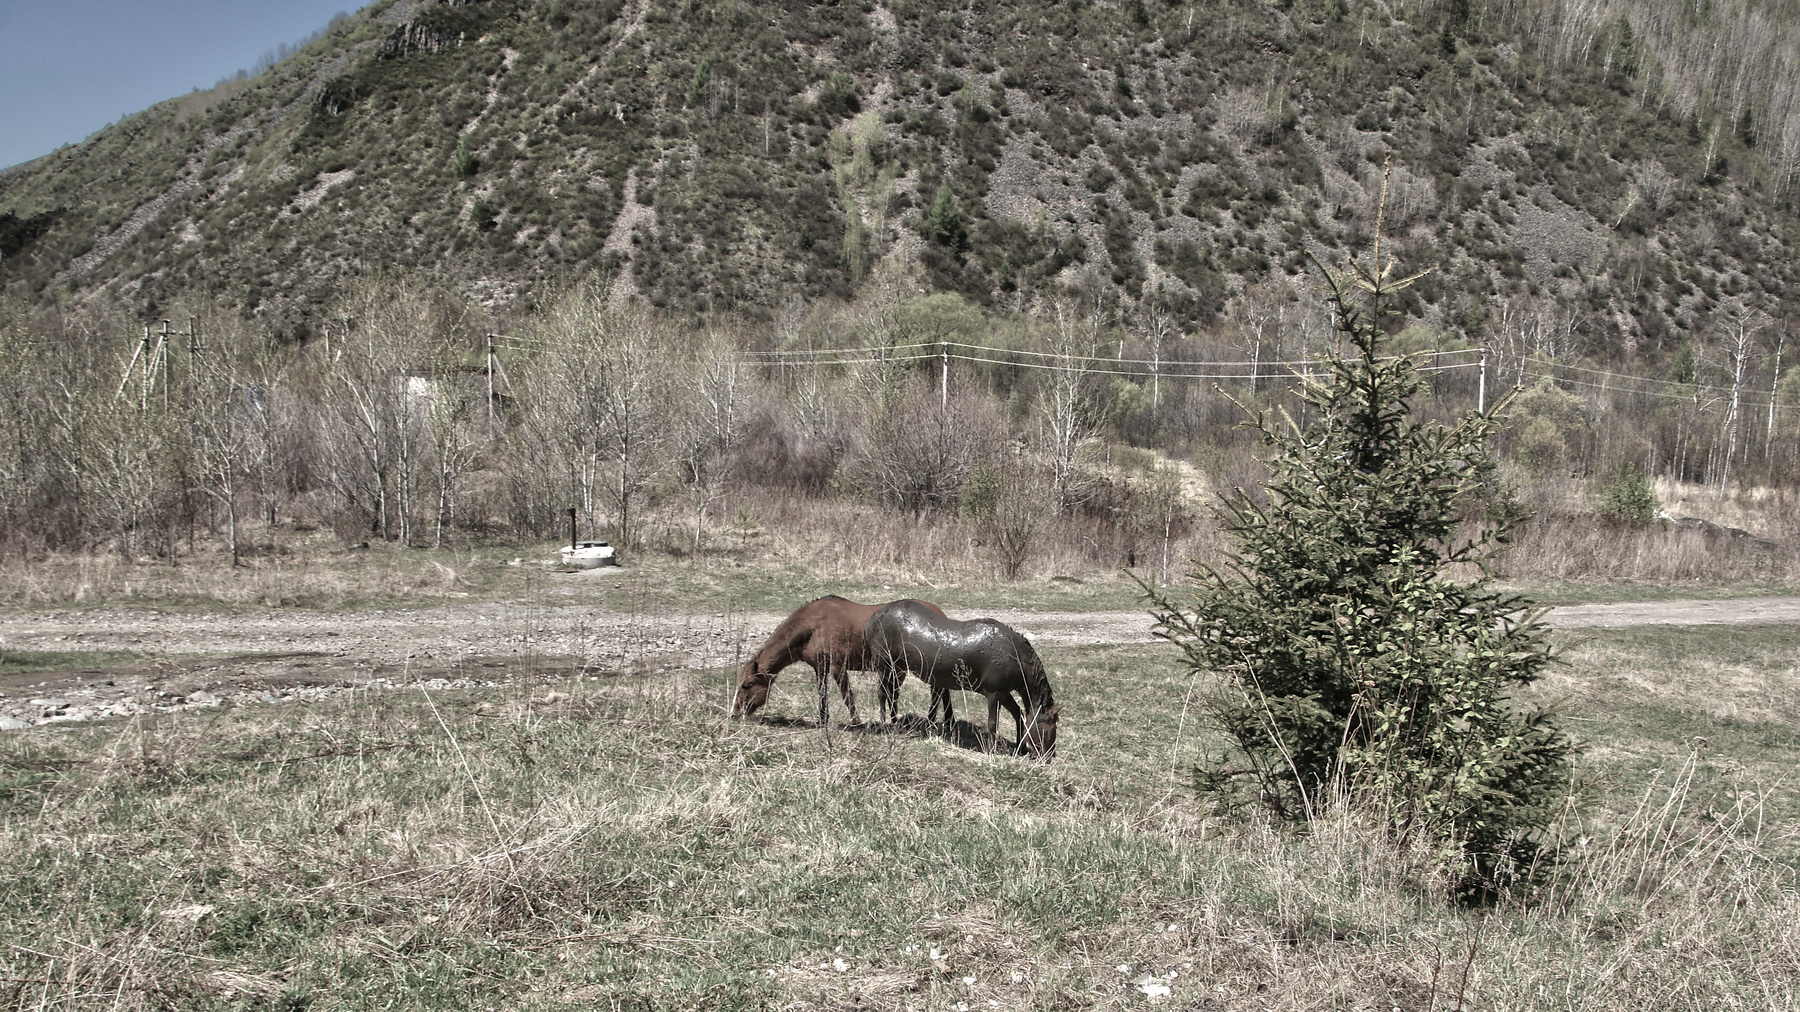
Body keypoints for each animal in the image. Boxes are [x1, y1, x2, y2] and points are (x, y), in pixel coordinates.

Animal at [732, 596, 945, 725]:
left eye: (747, 685)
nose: (734, 713)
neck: (813, 627)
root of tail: (940, 614)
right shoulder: (820, 668)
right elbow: (822, 695)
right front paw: (822, 720)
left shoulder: (837, 667)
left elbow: (847, 695)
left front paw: (856, 722)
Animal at [864, 600, 1060, 758]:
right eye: (1049, 726)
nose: (1048, 757)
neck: (1017, 656)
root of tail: (874, 616)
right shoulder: (995, 693)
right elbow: (992, 723)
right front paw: (990, 750)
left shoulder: (1003, 693)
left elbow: (1018, 715)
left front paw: (1021, 748)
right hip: (885, 666)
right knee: (882, 693)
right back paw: (884, 724)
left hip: (897, 668)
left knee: (893, 694)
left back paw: (895, 722)